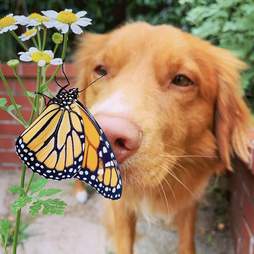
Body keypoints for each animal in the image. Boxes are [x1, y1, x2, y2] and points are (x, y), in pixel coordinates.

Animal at [73, 21, 250, 254]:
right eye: (101, 70)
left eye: (182, 80)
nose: (106, 136)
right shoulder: (120, 207)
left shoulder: (190, 199)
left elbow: (187, 241)